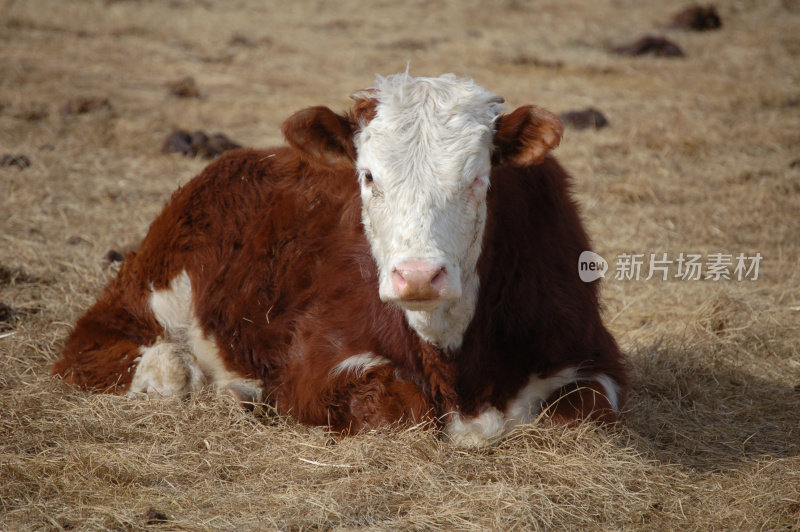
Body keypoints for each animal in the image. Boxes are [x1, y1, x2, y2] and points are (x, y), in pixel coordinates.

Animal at [50, 71, 628, 444]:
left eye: (478, 178)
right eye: (368, 176)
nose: (419, 275)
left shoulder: (595, 356)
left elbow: (585, 411)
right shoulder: (312, 359)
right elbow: (395, 405)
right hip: (147, 289)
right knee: (128, 357)